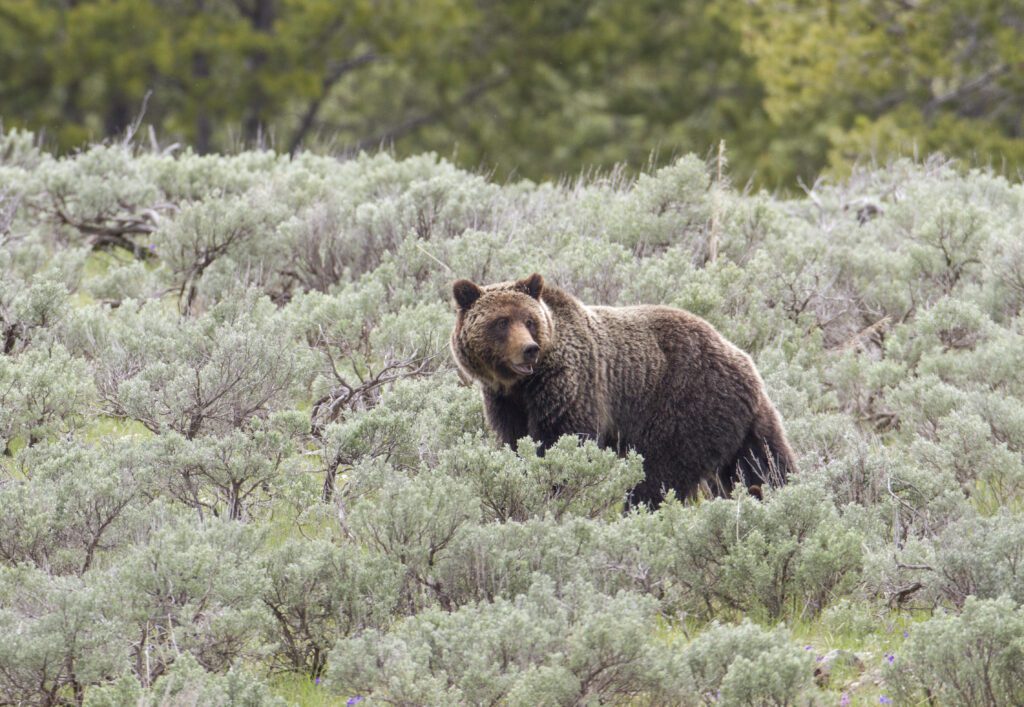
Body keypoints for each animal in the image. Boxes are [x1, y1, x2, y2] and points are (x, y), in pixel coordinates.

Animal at [449, 273, 796, 507]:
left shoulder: (571, 386)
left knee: (658, 474)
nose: (529, 350)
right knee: (764, 465)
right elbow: (515, 442)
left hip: (684, 407)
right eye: (501, 321)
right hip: (743, 423)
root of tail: (744, 361)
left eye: (529, 320)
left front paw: (558, 489)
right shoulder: (505, 403)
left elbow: (564, 441)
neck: (522, 385)